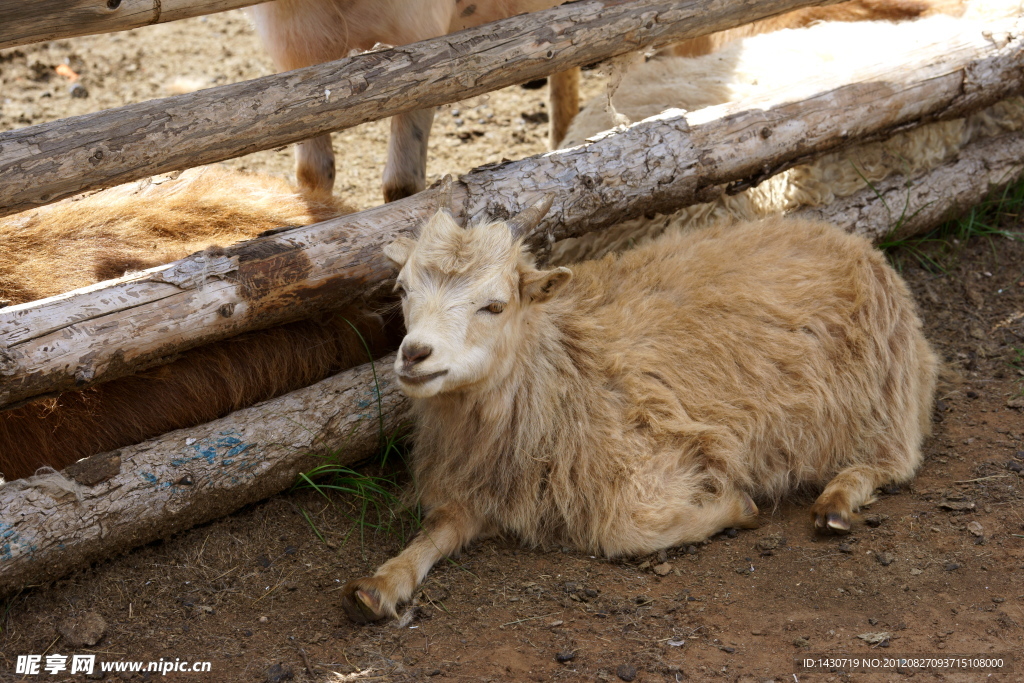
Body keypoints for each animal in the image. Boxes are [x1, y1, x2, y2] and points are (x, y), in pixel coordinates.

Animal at [339, 184, 937, 622]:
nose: (414, 354)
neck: (562, 368)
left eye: (495, 304)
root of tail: (851, 240)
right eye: (401, 290)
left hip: (884, 391)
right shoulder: (480, 487)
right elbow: (435, 531)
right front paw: (382, 582)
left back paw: (837, 500)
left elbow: (626, 534)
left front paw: (736, 508)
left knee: (898, 460)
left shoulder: (657, 459)